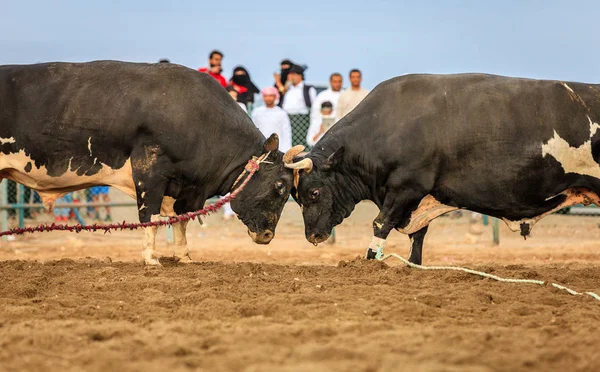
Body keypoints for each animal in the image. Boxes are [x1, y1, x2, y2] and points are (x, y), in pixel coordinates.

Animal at [0, 61, 296, 264]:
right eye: (280, 186)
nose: (267, 236)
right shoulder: (150, 170)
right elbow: (149, 216)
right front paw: (152, 258)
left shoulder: (187, 189)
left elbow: (181, 220)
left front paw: (183, 256)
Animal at [284, 72, 600, 264]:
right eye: (295, 197)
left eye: (313, 192)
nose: (312, 236)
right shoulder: (416, 200)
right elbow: (418, 237)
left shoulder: (406, 188)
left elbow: (381, 224)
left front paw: (369, 262)